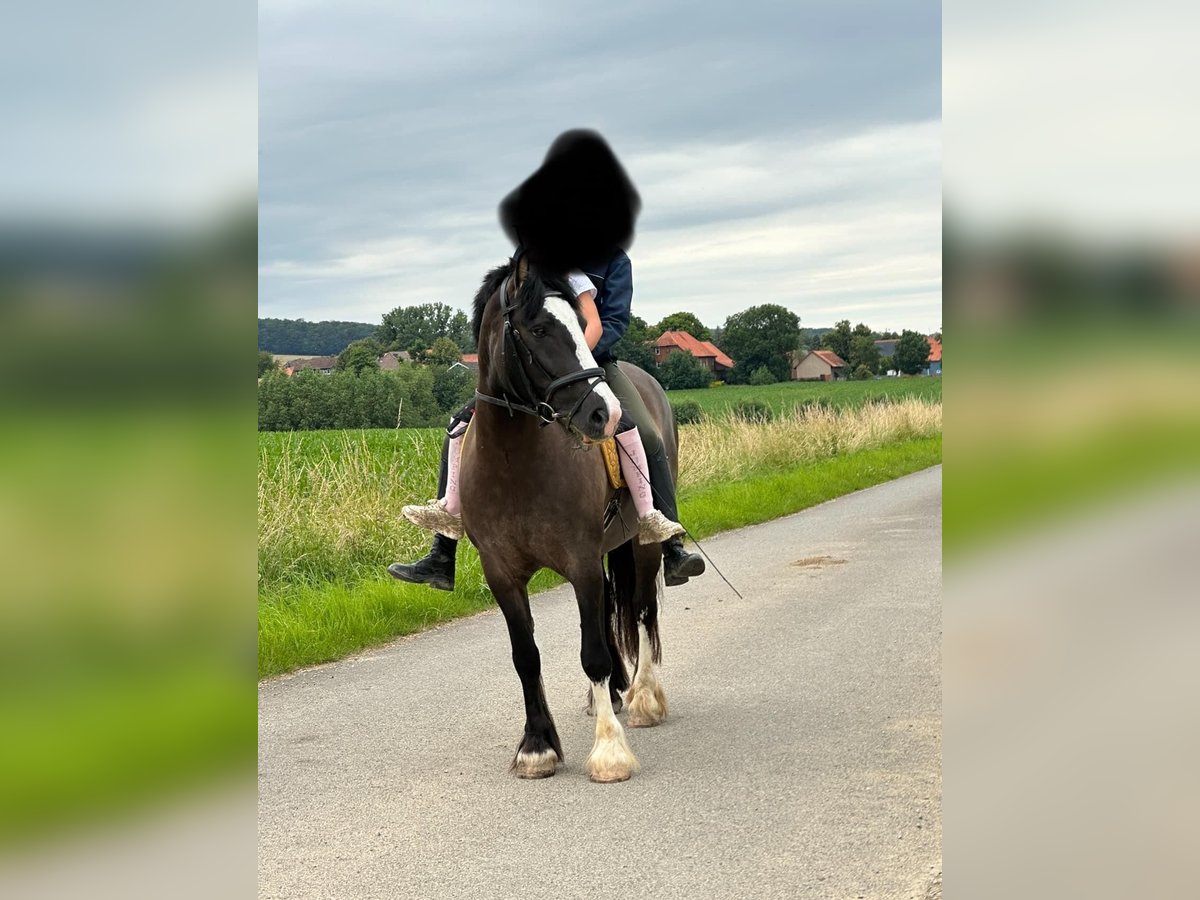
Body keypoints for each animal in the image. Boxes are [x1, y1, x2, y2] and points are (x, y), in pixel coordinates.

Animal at [458, 254, 672, 782]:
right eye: (538, 328)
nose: (604, 414)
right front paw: (537, 747)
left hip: (641, 546)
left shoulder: (579, 561)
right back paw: (613, 695)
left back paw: (643, 698)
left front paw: (610, 751)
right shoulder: (501, 572)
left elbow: (592, 653)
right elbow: (526, 656)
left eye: (580, 321)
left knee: (642, 610)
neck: (514, 464)